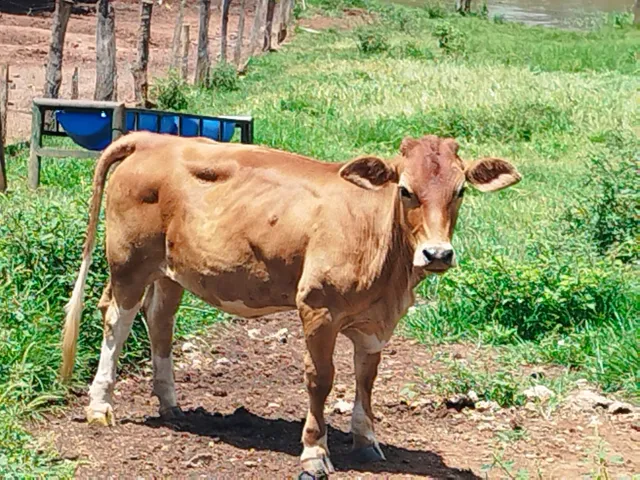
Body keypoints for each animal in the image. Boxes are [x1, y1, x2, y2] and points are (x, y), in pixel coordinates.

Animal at [61, 132, 520, 477]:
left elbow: (366, 379)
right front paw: (315, 452)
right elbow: (321, 378)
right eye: (405, 190)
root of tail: (152, 139)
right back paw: (100, 405)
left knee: (160, 322)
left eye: (460, 191)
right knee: (116, 320)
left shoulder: (376, 323)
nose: (437, 254)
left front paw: (366, 440)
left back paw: (170, 403)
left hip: (172, 271)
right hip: (129, 262)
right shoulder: (317, 307)